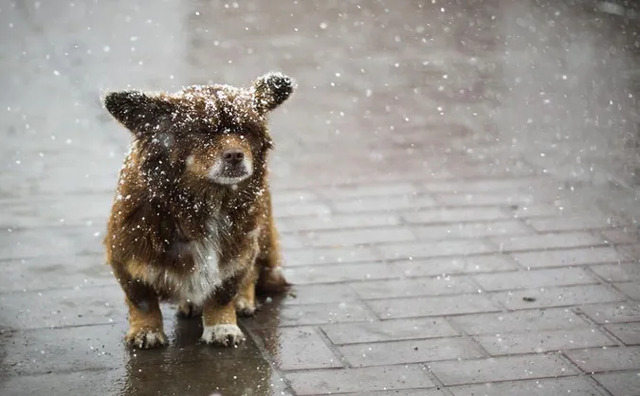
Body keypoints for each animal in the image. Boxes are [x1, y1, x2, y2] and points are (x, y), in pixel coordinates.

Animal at [103, 72, 292, 348]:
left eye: (245, 130)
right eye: (201, 132)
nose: (235, 155)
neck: (204, 201)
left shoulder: (237, 252)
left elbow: (223, 293)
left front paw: (222, 326)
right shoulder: (126, 256)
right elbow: (142, 300)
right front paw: (146, 330)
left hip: (261, 234)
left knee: (254, 271)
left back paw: (243, 299)